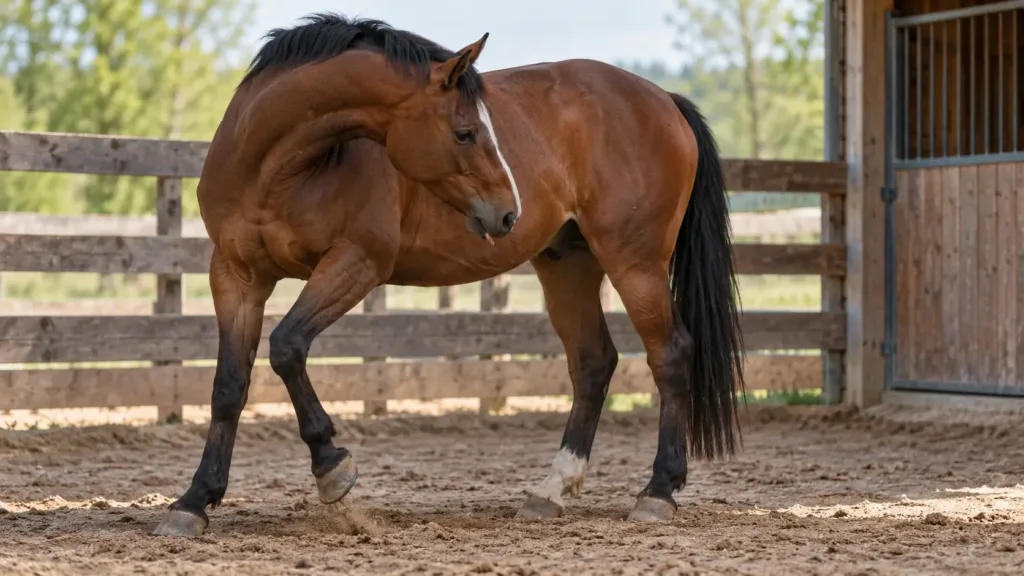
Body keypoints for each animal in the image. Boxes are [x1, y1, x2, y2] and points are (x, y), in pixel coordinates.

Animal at [153, 14, 745, 538]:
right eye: (465, 132)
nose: (508, 212)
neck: (278, 168)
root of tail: (663, 98)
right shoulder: (236, 278)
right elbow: (229, 386)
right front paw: (193, 502)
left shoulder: (356, 263)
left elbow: (287, 347)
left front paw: (332, 468)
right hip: (568, 265)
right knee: (593, 364)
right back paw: (550, 491)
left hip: (635, 263)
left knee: (670, 355)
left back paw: (658, 493)